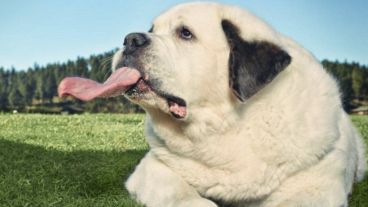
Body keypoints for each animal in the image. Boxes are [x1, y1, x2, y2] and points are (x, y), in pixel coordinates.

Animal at [57, 2, 366, 207]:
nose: (131, 39)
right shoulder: (154, 168)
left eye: (185, 33)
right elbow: (184, 195)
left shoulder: (315, 188)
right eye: (151, 29)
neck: (227, 125)